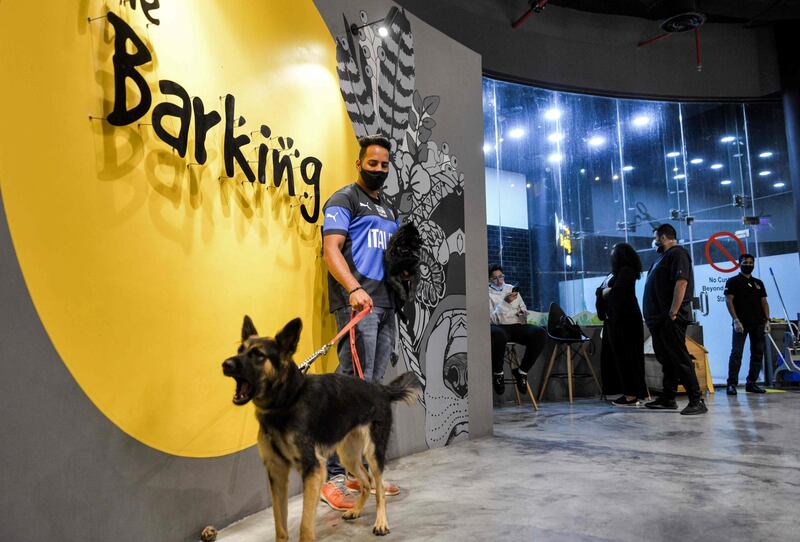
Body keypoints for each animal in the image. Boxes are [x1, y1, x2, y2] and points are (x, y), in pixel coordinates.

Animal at [222, 316, 422, 540]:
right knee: (365, 481)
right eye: (240, 350)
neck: (286, 400)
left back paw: (381, 522)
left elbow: (305, 524)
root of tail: (381, 389)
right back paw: (355, 510)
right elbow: (280, 525)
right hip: (348, 456)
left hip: (373, 452)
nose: (225, 364)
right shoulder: (277, 472)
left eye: (258, 355)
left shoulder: (313, 469)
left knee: (378, 489)